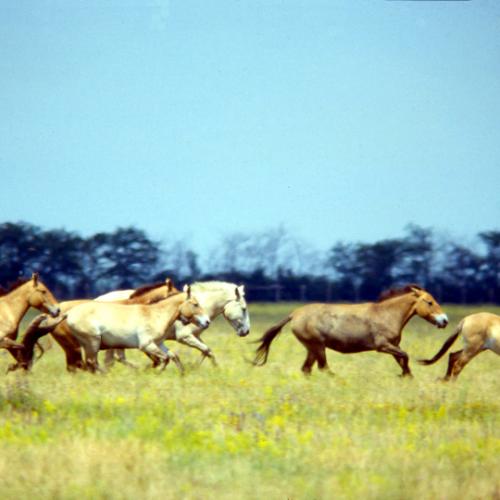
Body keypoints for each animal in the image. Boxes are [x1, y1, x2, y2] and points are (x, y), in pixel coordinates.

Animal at [11, 278, 181, 372]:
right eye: (174, 292)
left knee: (76, 366)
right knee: (79, 365)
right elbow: (116, 360)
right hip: (76, 346)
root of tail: (53, 314)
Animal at [64, 286, 209, 376]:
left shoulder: (159, 344)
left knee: (91, 364)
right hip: (93, 343)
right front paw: (156, 373)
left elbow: (173, 356)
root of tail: (69, 313)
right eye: (195, 304)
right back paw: (107, 375)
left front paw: (182, 374)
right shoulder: (146, 345)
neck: (156, 315)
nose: (207, 322)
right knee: (92, 362)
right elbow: (165, 359)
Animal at [254, 286, 450, 376]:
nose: (445, 320)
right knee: (322, 368)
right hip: (317, 346)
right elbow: (406, 356)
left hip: (312, 348)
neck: (387, 314)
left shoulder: (393, 346)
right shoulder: (383, 346)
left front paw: (407, 377)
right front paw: (403, 376)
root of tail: (294, 314)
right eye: (430, 302)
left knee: (307, 369)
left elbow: (403, 360)